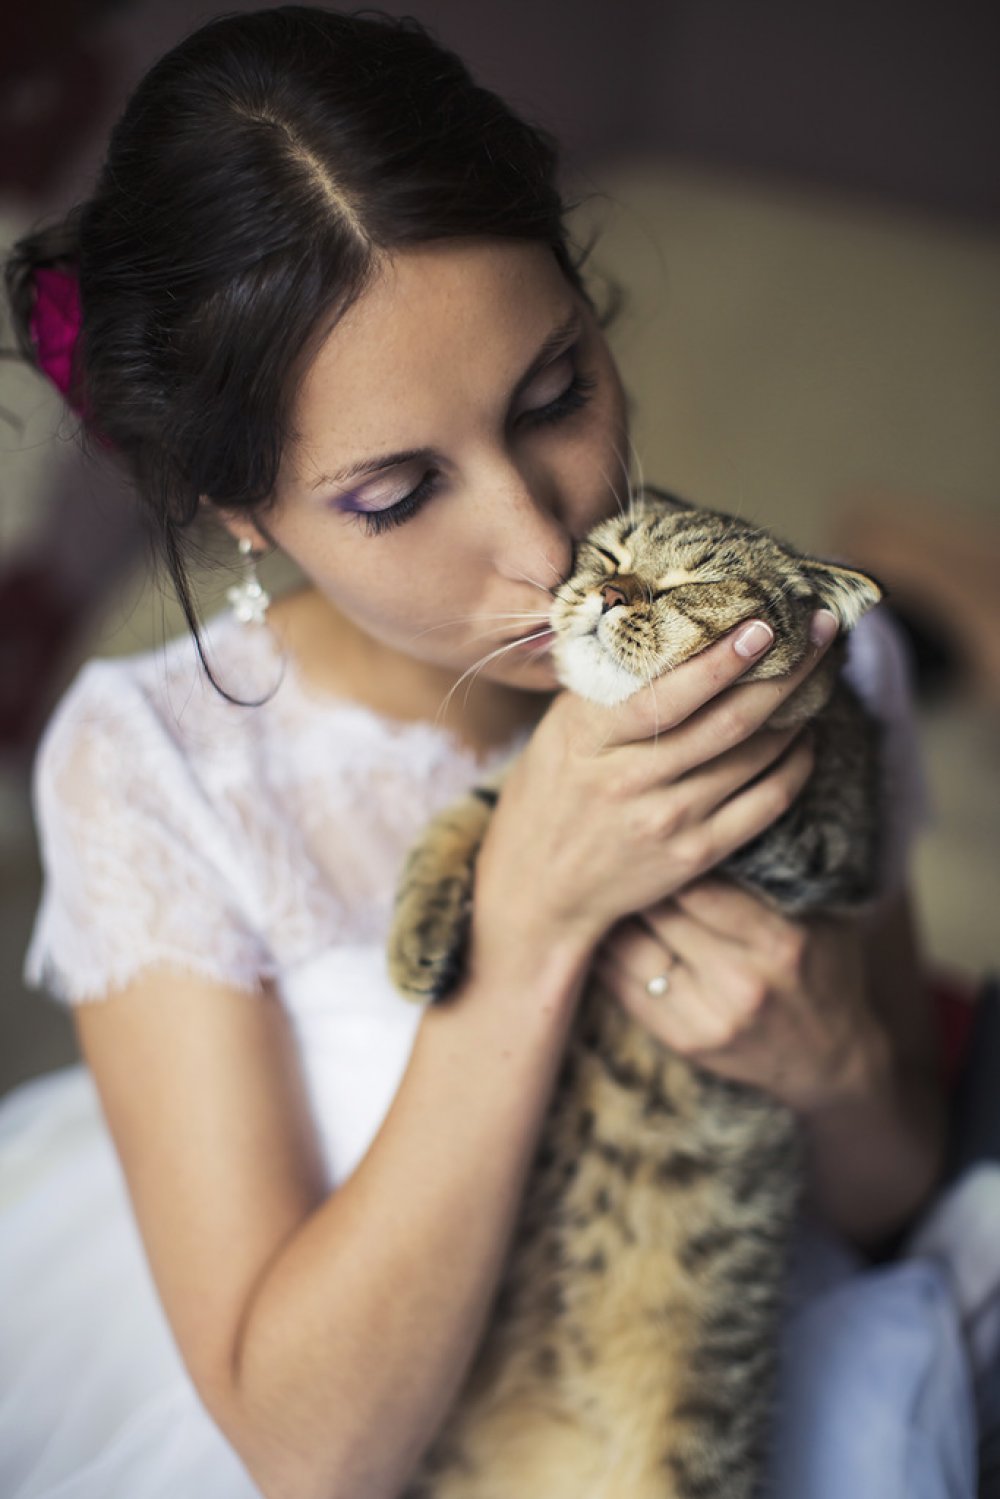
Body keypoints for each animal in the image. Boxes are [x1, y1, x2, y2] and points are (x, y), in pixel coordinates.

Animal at [388, 486, 883, 1499]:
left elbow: (778, 783)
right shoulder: (520, 789)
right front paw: (417, 931)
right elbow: (482, 808)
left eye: (693, 581)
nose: (612, 593)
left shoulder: (831, 835)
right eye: (611, 554)